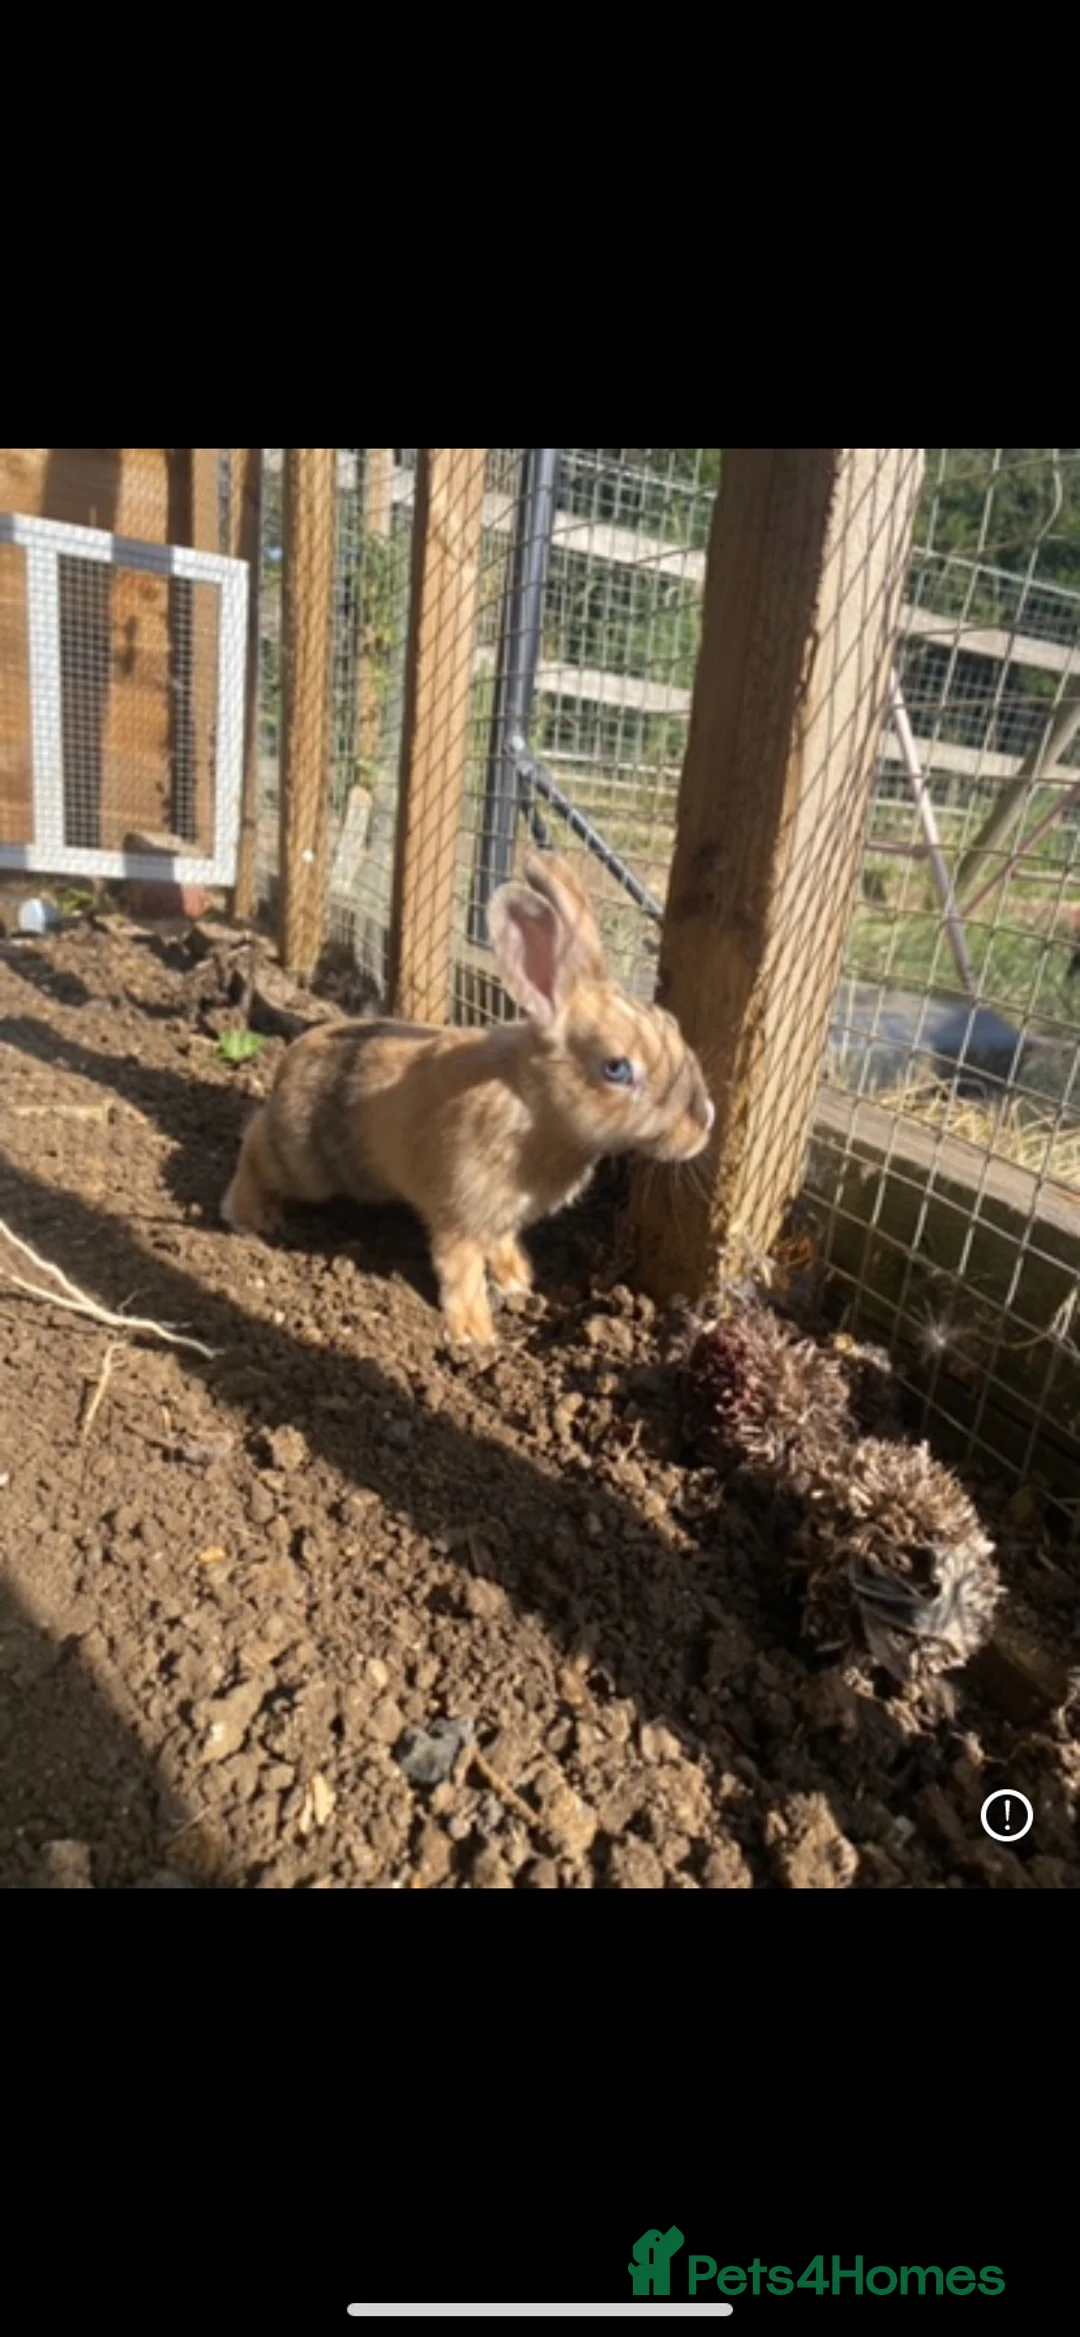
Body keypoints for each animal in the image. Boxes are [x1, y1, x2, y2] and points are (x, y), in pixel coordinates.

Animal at [221, 851, 715, 1345]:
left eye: (672, 1024)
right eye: (617, 1069)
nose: (704, 1123)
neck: (535, 1105)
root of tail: (289, 1063)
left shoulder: (501, 1217)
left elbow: (501, 1245)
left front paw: (517, 1281)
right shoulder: (459, 1213)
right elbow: (460, 1269)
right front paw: (474, 1334)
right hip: (305, 1161)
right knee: (253, 1148)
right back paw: (248, 1216)